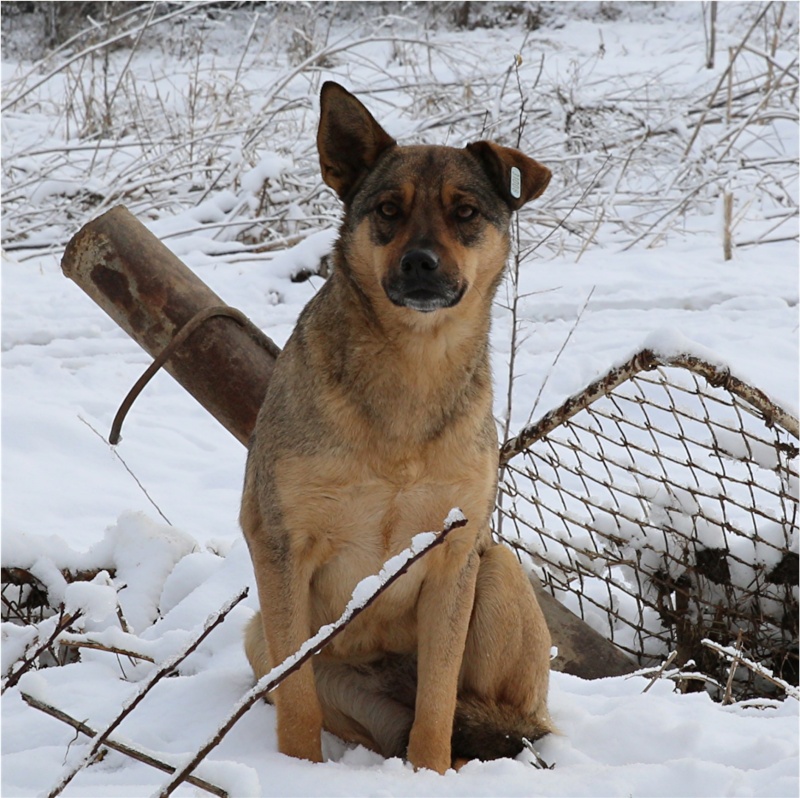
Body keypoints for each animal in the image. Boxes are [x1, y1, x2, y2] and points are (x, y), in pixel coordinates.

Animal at [241, 83, 552, 776]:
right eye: (388, 209)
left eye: (466, 212)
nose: (420, 263)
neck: (412, 367)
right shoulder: (279, 542)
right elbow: (296, 695)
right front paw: (296, 771)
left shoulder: (454, 552)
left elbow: (436, 701)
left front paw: (427, 775)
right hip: (261, 637)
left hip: (497, 570)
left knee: (503, 719)